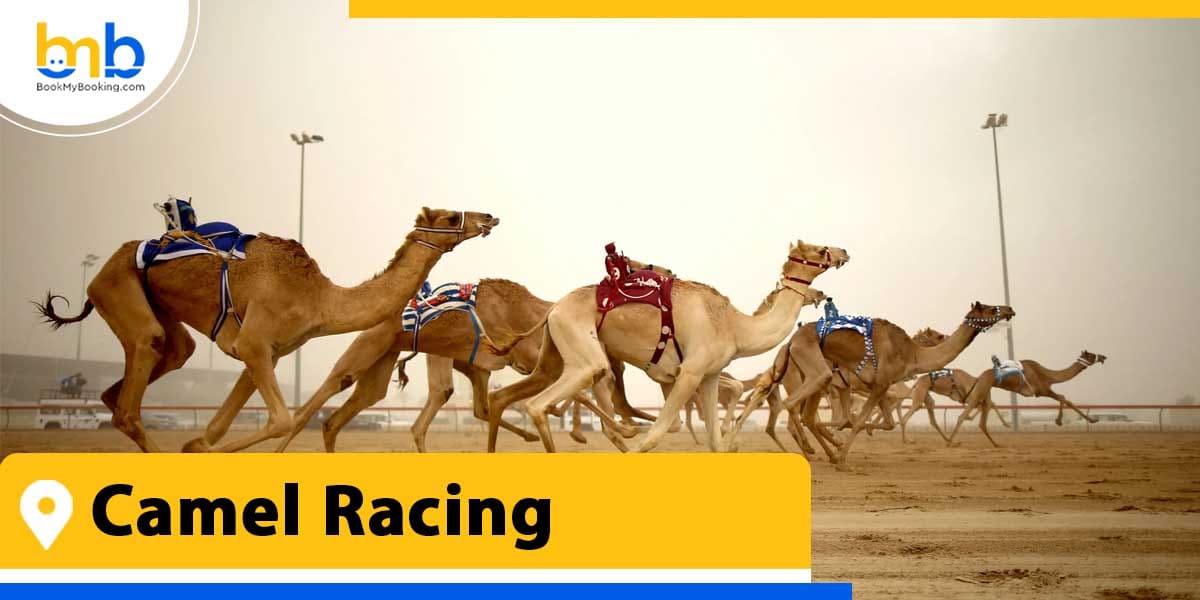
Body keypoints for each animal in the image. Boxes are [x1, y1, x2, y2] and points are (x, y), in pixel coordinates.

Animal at [35, 207, 498, 452]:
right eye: (451, 216)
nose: (488, 217)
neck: (319, 297)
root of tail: (111, 260)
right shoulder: (254, 342)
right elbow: (279, 419)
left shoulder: (266, 352)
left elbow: (218, 427)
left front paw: (195, 446)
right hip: (115, 286)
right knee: (133, 395)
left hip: (156, 310)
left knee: (152, 369)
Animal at [485, 240, 848, 453]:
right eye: (820, 250)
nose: (844, 252)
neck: (734, 327)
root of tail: (554, 308)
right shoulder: (689, 372)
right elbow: (657, 434)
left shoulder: (709, 375)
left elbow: (715, 442)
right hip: (582, 350)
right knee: (539, 404)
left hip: (554, 354)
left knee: (508, 397)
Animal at [733, 301, 1015, 463]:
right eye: (990, 308)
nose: (1009, 309)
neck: (911, 353)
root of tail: (790, 343)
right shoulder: (879, 383)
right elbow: (856, 421)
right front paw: (843, 455)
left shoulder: (875, 386)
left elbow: (880, 422)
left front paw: (844, 444)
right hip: (814, 373)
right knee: (794, 408)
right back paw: (813, 450)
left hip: (815, 378)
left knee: (805, 415)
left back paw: (820, 450)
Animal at [945, 350, 1107, 446]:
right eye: (1090, 354)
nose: (1103, 356)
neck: (1048, 375)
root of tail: (979, 377)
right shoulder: (1042, 389)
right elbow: (1064, 398)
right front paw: (1090, 420)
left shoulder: (1044, 389)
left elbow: (1062, 398)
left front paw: (1060, 420)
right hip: (980, 391)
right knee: (963, 416)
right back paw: (950, 442)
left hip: (983, 393)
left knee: (980, 419)